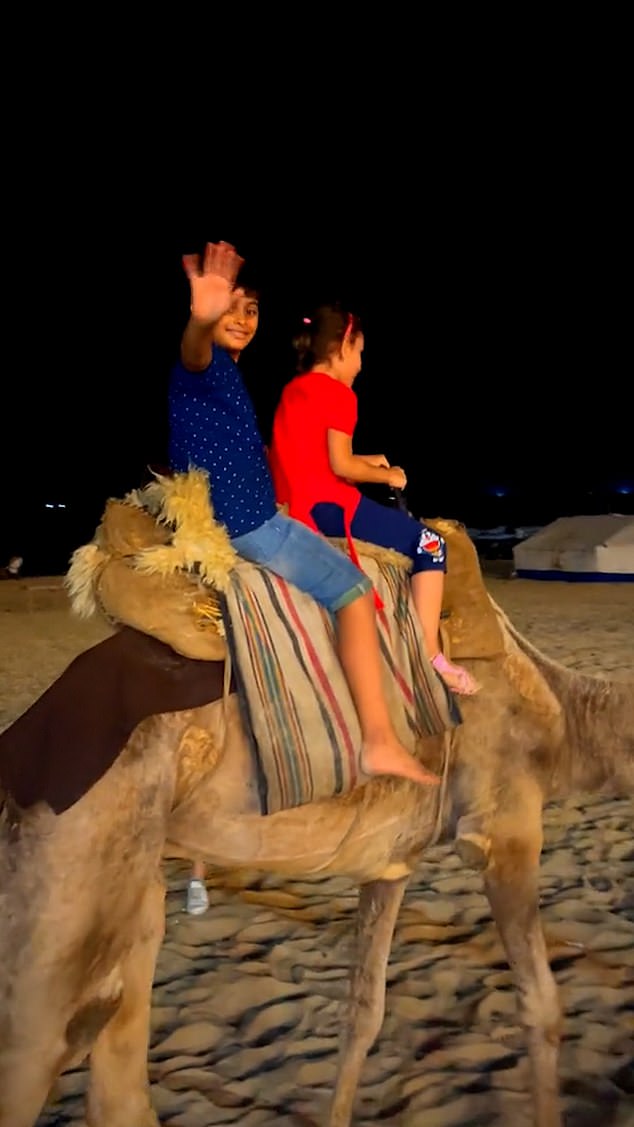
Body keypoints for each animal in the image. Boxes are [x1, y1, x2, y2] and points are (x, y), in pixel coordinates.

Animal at [0, 509, 630, 1127]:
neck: (562, 713)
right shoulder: (505, 827)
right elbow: (542, 1007)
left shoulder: (392, 864)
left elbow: (364, 1011)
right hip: (67, 877)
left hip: (134, 895)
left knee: (120, 1083)